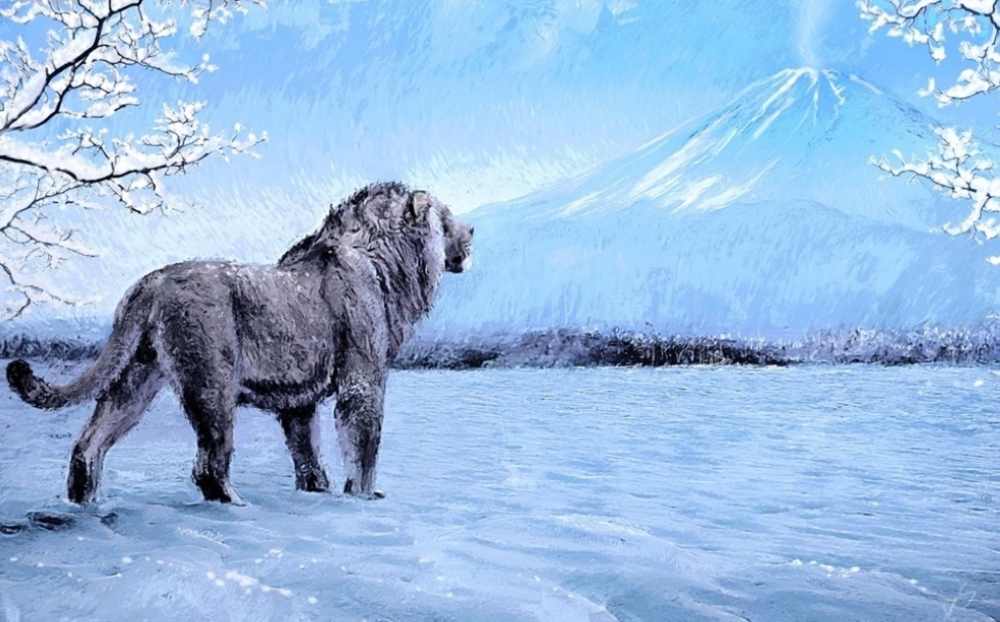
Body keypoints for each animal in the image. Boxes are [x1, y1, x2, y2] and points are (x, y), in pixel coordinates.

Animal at [6, 182, 474, 504]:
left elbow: (307, 454)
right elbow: (363, 447)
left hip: (136, 377)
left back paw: (84, 503)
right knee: (209, 466)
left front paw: (317, 493)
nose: (471, 231)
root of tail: (149, 283)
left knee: (89, 445)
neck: (386, 263)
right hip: (211, 382)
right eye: (445, 217)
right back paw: (237, 504)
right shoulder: (362, 380)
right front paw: (363, 496)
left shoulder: (298, 402)